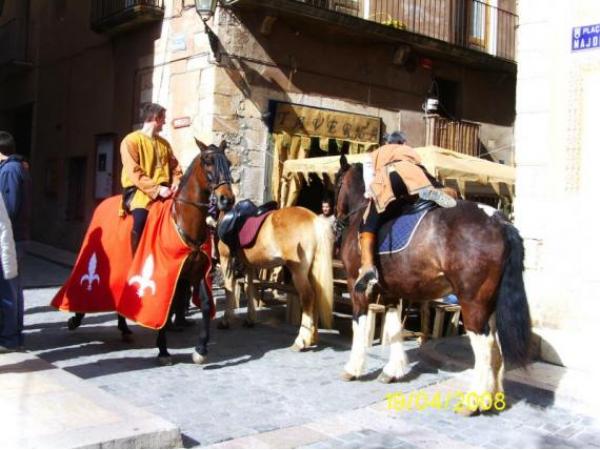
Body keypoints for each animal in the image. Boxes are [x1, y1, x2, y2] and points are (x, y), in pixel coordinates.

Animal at [65, 141, 234, 366]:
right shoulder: (166, 275)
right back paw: (76, 318)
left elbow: (206, 305)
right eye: (208, 161)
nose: (227, 199)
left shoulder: (197, 272)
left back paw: (124, 328)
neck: (182, 220)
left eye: (229, 163)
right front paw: (163, 350)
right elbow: (165, 306)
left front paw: (201, 349)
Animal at [218, 207, 336, 352]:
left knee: (308, 297)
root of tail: (313, 219)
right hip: (312, 272)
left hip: (298, 272)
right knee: (317, 296)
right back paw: (312, 337)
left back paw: (301, 340)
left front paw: (225, 320)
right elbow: (249, 288)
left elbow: (229, 288)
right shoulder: (249, 265)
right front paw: (250, 319)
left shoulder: (226, 258)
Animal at [336, 156, 532, 414]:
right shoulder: (391, 292)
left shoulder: (355, 286)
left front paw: (353, 368)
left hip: (472, 304)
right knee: (496, 349)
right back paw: (492, 397)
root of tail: (499, 221)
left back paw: (474, 401)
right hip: (489, 304)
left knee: (486, 347)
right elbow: (394, 326)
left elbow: (359, 324)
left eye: (337, 182)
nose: (336, 221)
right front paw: (393, 370)